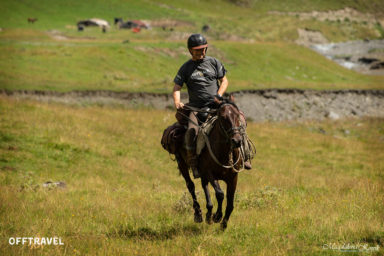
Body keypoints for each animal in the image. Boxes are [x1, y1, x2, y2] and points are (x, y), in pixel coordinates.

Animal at [175, 95, 246, 229]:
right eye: (223, 117)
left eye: (237, 115)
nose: (237, 141)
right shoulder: (209, 173)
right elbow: (220, 194)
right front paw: (217, 216)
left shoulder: (233, 177)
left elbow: (230, 202)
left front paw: (223, 224)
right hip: (182, 163)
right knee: (191, 186)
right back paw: (199, 214)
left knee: (204, 185)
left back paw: (208, 212)